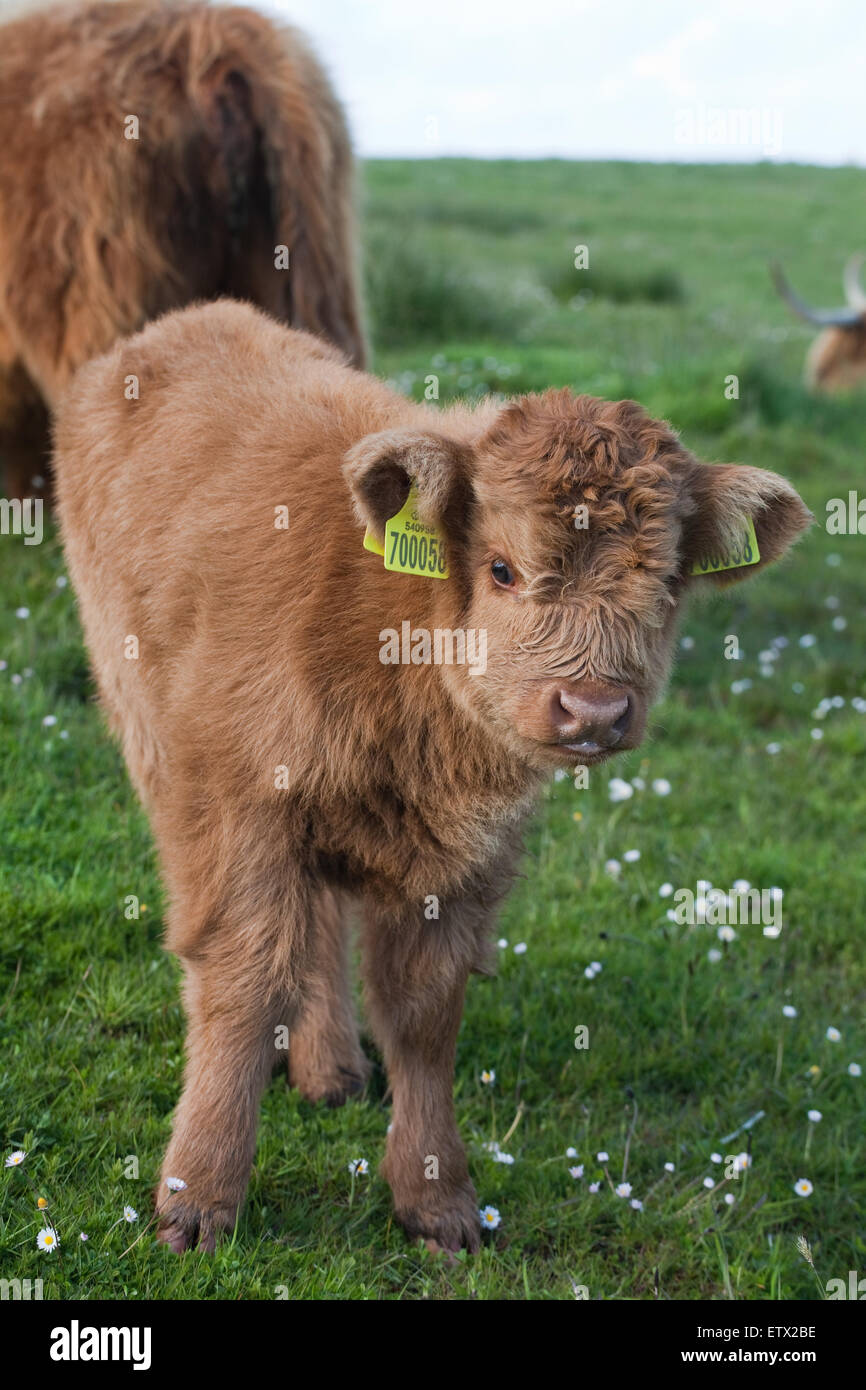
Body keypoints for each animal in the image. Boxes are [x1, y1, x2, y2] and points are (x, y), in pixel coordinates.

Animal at [54, 298, 811, 1256]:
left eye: (670, 582)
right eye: (502, 569)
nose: (595, 709)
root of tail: (185, 322)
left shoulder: (462, 868)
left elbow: (422, 1013)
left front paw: (438, 1200)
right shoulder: (236, 808)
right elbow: (241, 981)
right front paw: (198, 1196)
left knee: (323, 920)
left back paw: (331, 1063)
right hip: (147, 728)